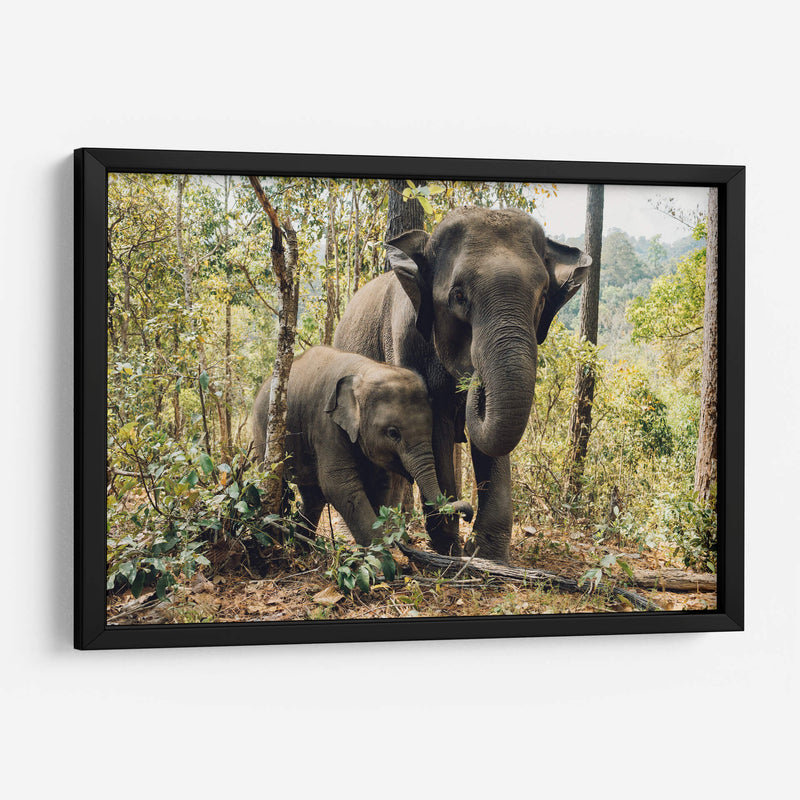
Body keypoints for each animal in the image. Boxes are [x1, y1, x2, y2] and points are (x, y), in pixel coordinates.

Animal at [251, 345, 473, 547]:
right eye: (393, 433)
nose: (468, 515)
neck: (365, 371)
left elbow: (381, 484)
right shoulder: (326, 425)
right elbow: (339, 485)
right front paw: (383, 555)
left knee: (313, 497)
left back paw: (303, 547)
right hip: (264, 433)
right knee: (275, 483)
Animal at [333, 206, 591, 562]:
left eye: (541, 298)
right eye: (458, 295)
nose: (475, 379)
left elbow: (490, 442)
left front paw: (487, 554)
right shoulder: (405, 341)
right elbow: (436, 427)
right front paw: (451, 547)